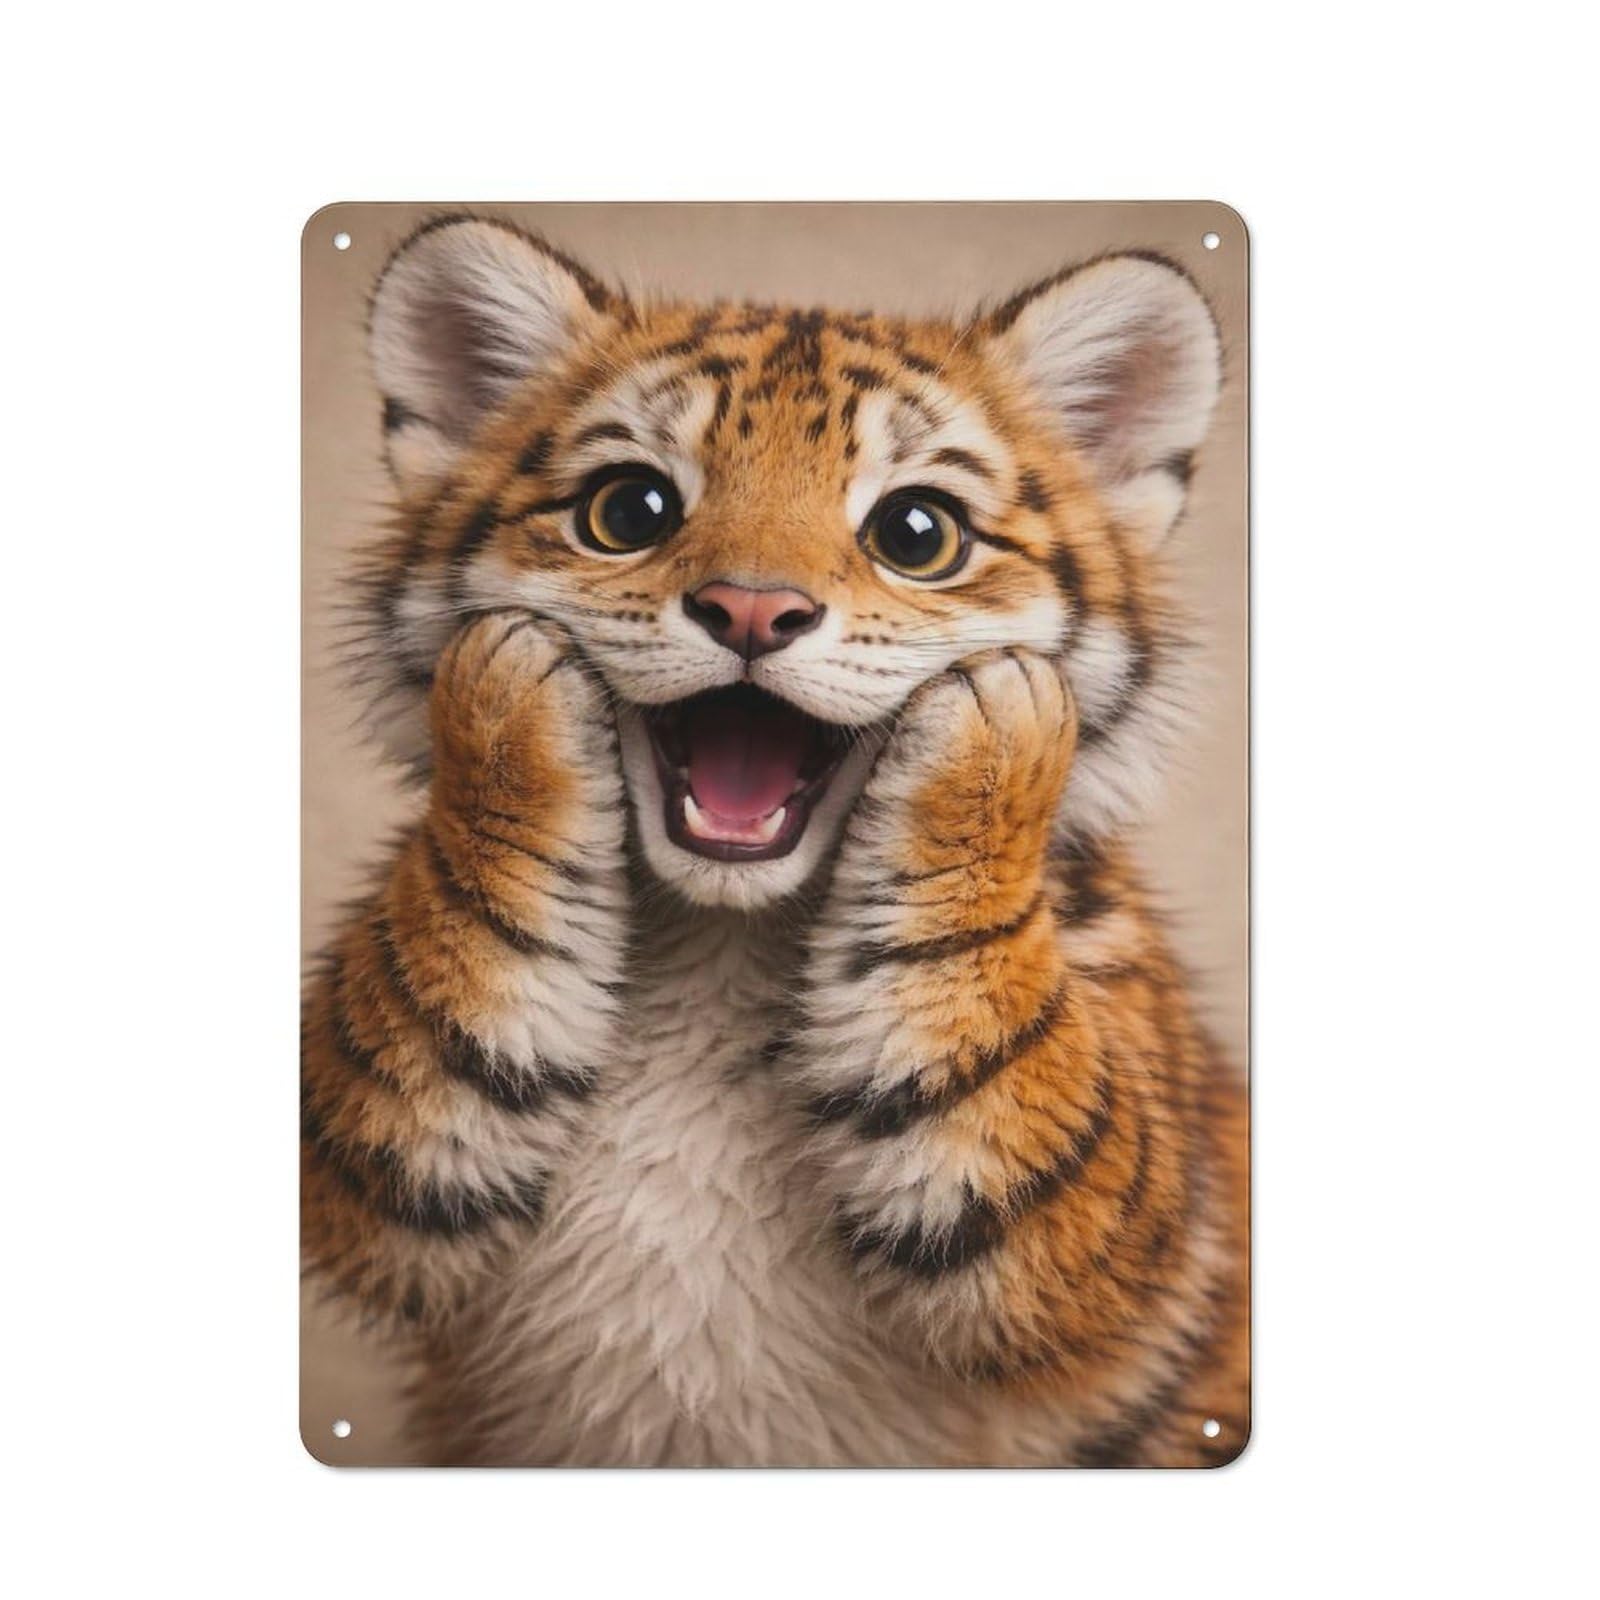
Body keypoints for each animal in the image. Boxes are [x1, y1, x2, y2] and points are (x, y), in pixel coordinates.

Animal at [301, 212, 1249, 1467]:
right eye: (630, 511)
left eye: (916, 533)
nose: (752, 610)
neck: (723, 940)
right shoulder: (378, 1157)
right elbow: (433, 981)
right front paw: (507, 679)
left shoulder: (1110, 1226)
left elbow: (993, 1045)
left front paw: (997, 717)